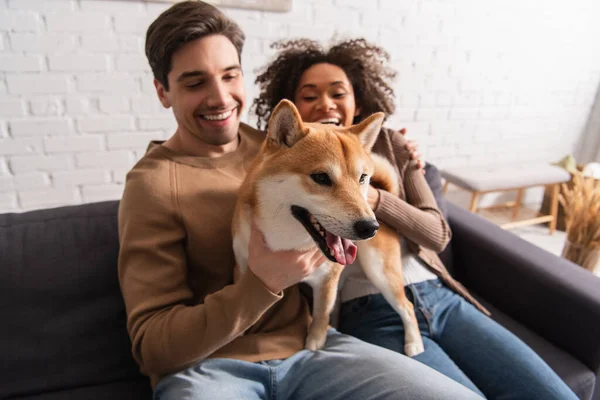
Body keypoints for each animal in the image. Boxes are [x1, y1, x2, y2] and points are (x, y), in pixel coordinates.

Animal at [232, 100, 424, 356]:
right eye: (321, 177)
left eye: (362, 177)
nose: (369, 227)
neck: (287, 240)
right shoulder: (243, 268)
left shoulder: (326, 280)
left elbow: (321, 314)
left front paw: (315, 343)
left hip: (380, 272)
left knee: (407, 306)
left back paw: (414, 343)